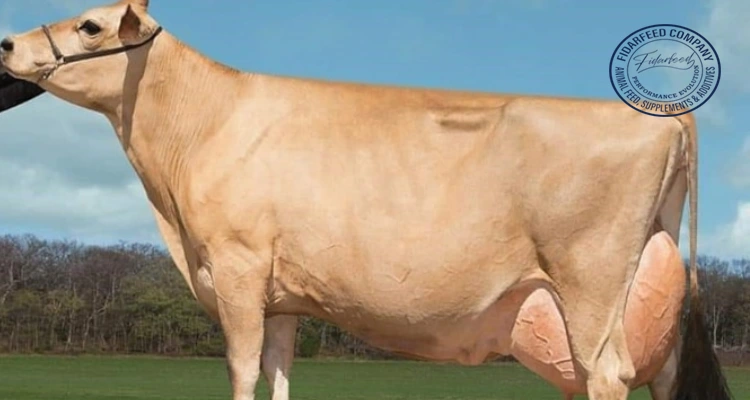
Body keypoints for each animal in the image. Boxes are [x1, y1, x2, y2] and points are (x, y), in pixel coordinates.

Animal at [0, 1, 733, 399]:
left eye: (91, 26)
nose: (7, 43)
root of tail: (665, 116)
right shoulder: (282, 296)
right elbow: (278, 372)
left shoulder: (237, 270)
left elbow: (241, 370)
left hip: (592, 279)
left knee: (606, 374)